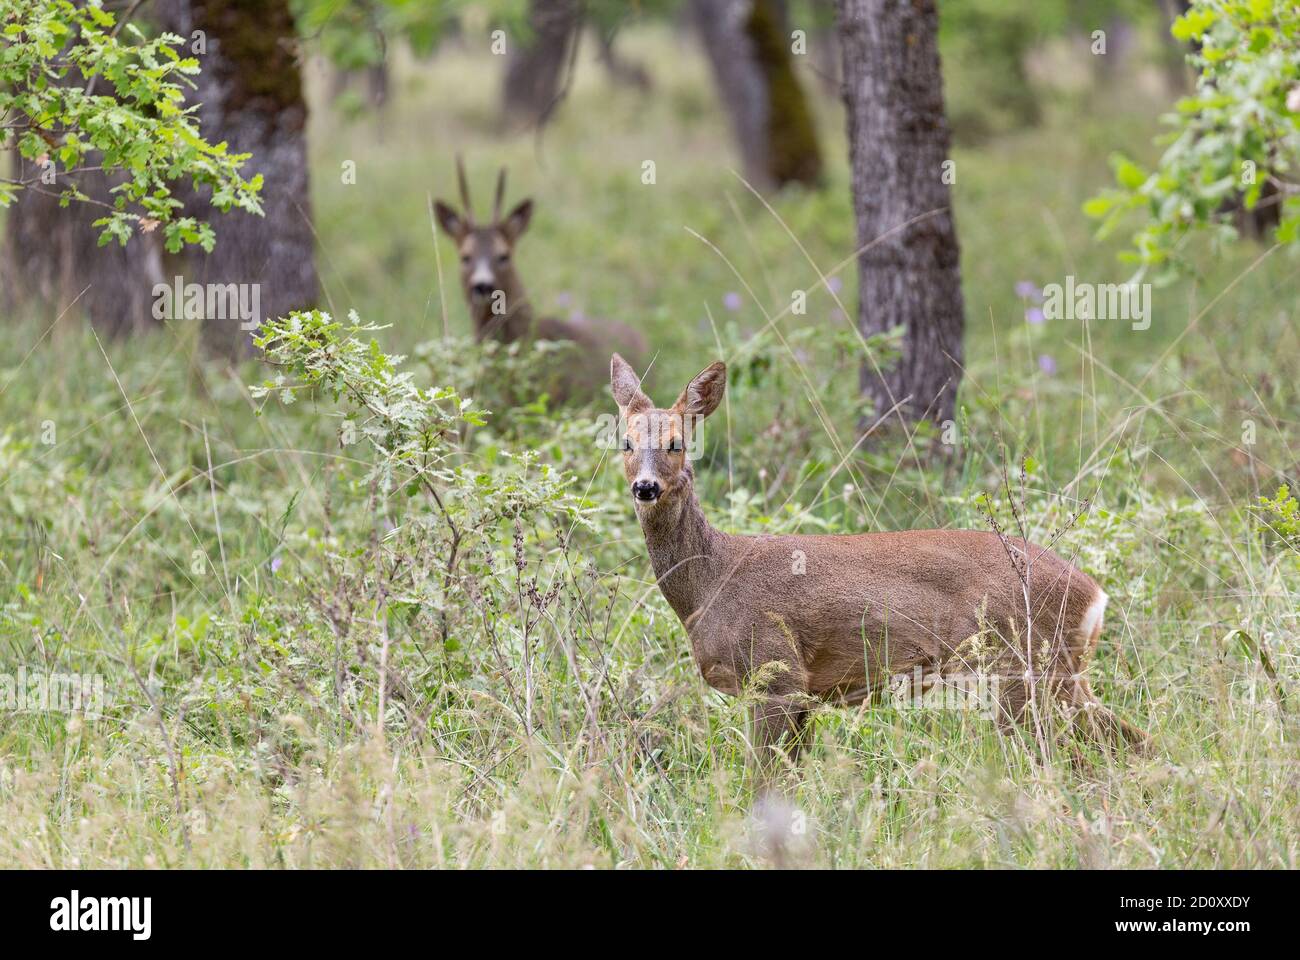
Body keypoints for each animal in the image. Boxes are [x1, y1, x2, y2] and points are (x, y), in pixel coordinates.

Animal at [608, 351, 1149, 785]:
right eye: (625, 444)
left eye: (676, 443)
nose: (646, 487)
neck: (710, 586)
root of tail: (1094, 594)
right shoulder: (805, 695)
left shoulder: (777, 673)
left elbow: (763, 781)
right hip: (1057, 673)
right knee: (1128, 740)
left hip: (1023, 668)